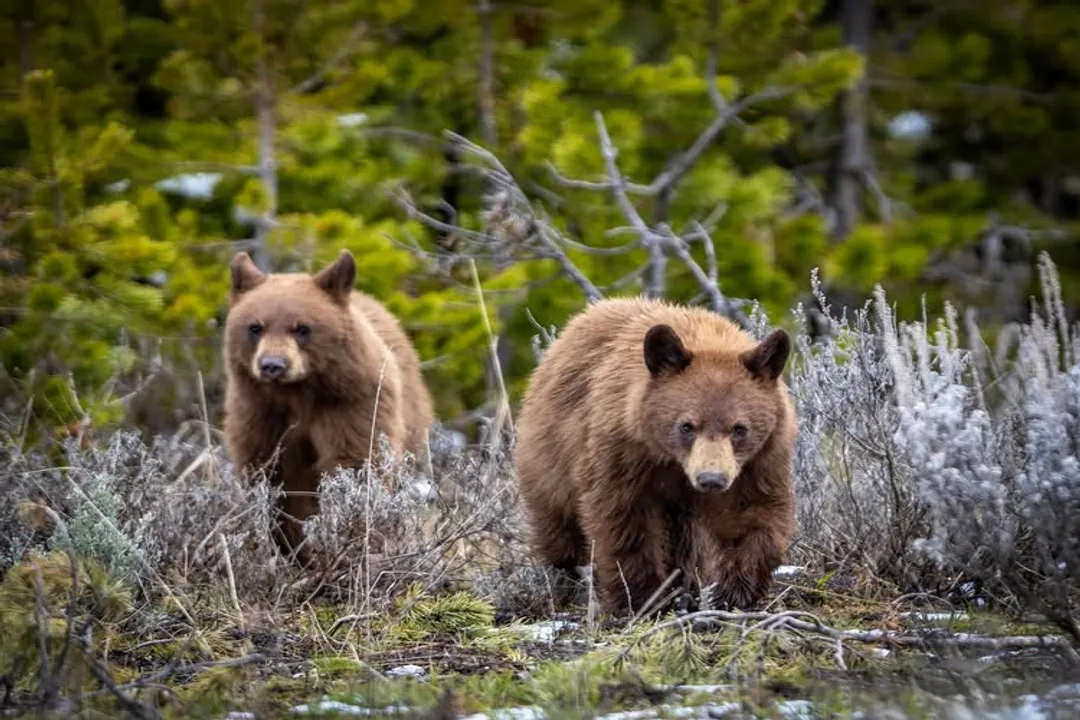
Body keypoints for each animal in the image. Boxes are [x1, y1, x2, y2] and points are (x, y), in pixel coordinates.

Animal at [222, 248, 435, 560]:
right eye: (255, 327)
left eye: (302, 328)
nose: (273, 365)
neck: (297, 394)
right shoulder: (259, 412)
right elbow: (275, 477)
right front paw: (295, 547)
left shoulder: (352, 403)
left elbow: (355, 462)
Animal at [513, 297, 797, 617]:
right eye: (687, 426)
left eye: (739, 428)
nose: (711, 479)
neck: (671, 461)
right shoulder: (621, 452)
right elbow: (624, 520)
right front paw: (644, 599)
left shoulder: (757, 461)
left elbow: (750, 515)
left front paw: (733, 591)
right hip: (548, 457)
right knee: (559, 527)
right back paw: (565, 581)